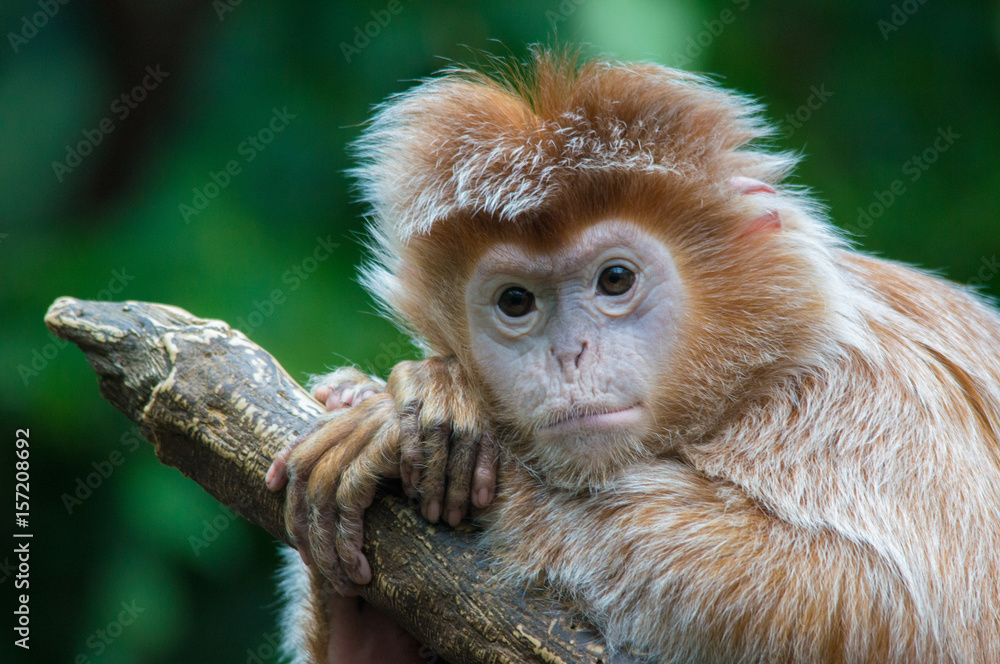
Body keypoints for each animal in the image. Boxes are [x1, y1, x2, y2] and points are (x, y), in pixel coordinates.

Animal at [265, 48, 1000, 663]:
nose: (570, 354)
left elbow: (885, 604)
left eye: (615, 280)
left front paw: (414, 426)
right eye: (515, 301)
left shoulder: (869, 399)